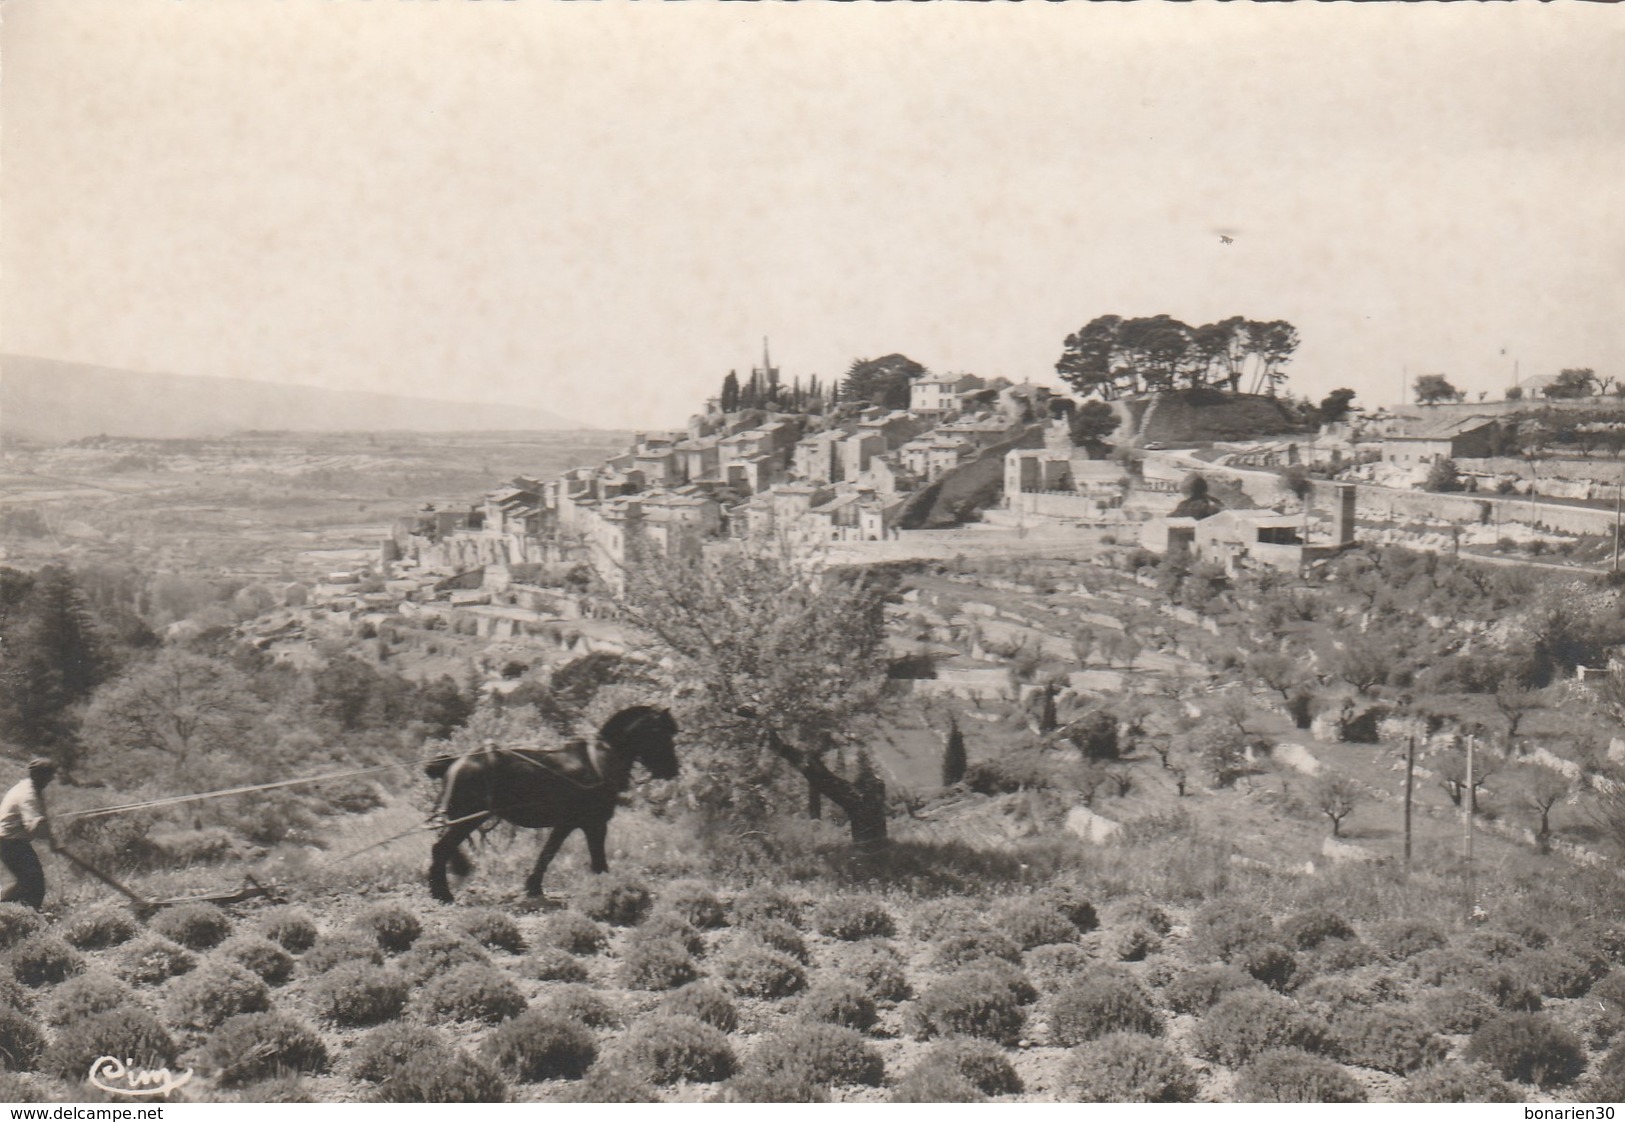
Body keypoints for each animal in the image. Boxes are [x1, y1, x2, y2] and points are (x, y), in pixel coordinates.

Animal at [425, 702, 679, 904]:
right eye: (660, 733)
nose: (673, 770)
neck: (599, 761)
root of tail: (457, 761)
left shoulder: (569, 824)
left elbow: (549, 853)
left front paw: (534, 887)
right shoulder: (593, 823)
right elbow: (591, 859)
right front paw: (608, 890)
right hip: (467, 818)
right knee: (440, 849)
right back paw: (442, 894)